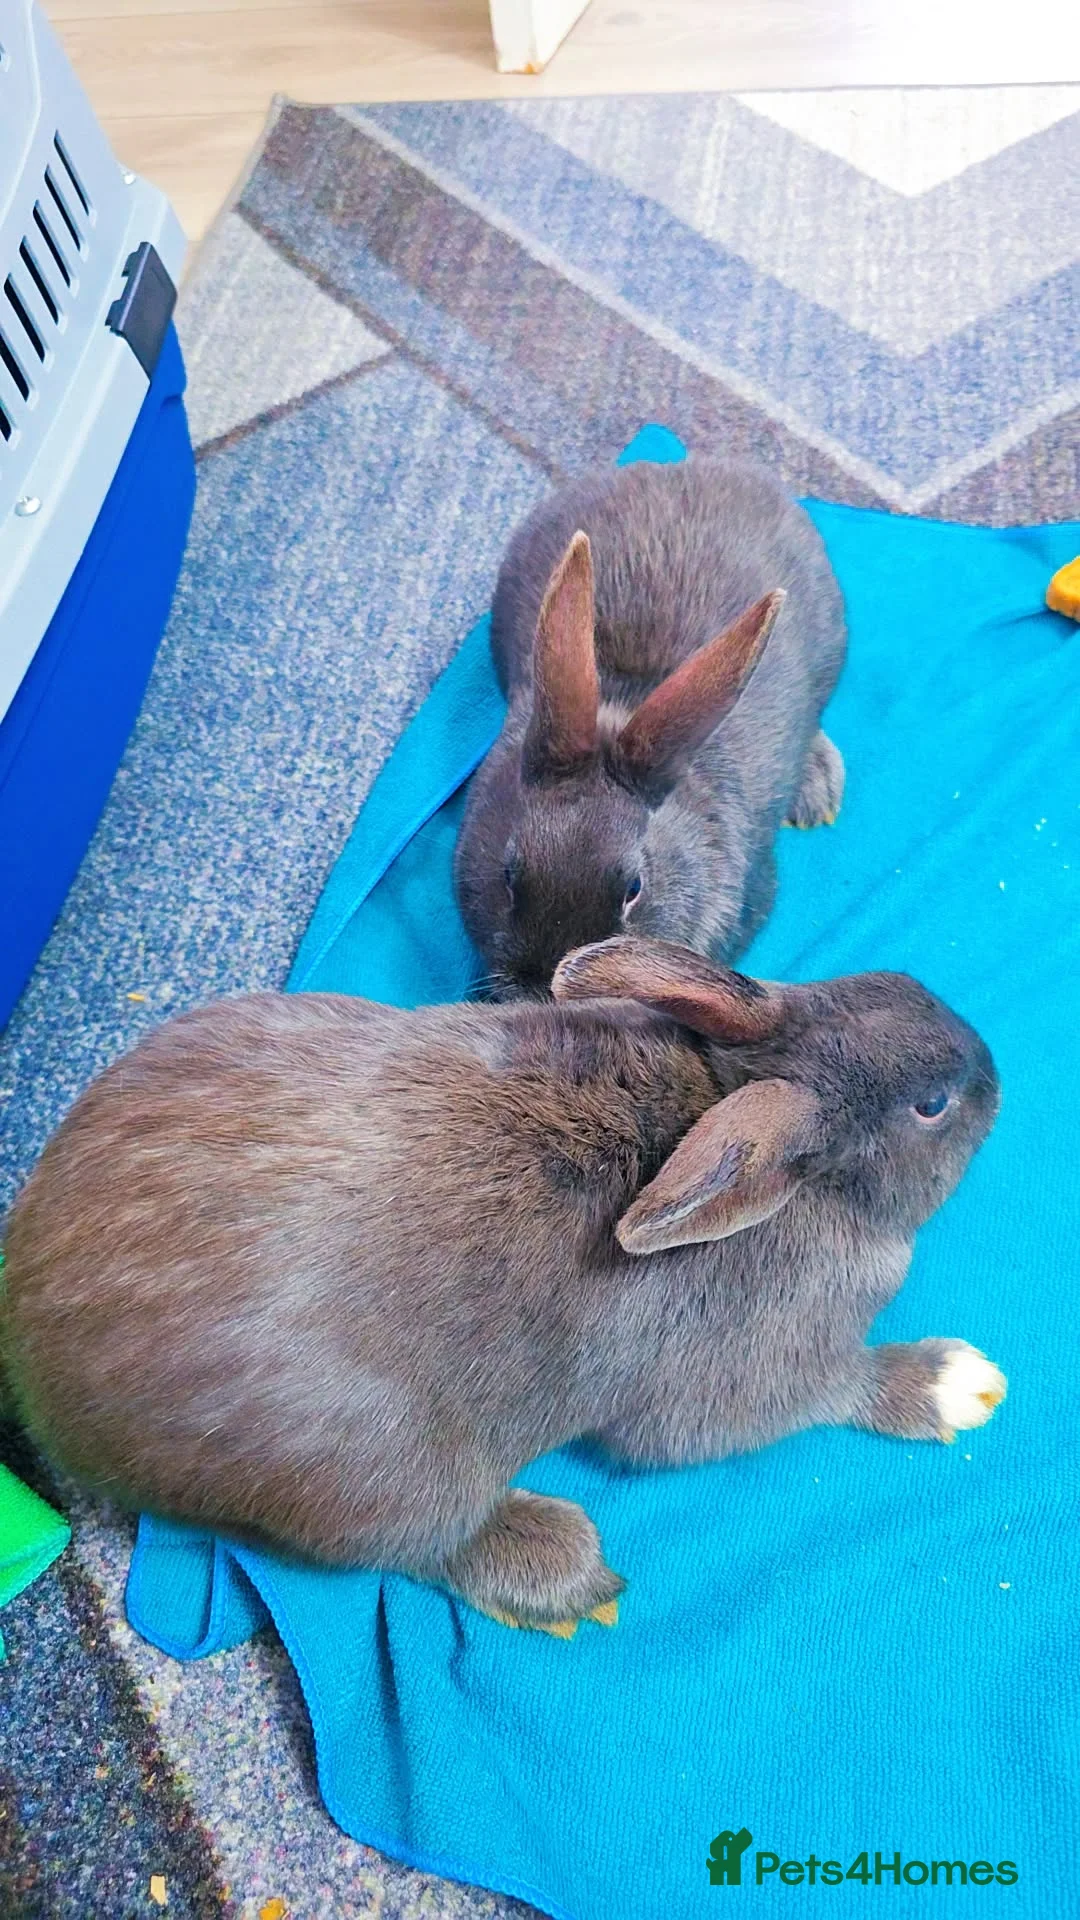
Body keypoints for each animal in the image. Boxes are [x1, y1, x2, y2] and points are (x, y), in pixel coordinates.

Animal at [0, 938, 1004, 1633]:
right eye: (933, 1107)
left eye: (892, 982)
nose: (993, 1070)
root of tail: (40, 1376)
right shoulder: (754, 1379)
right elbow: (840, 1388)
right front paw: (955, 1383)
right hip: (390, 1477)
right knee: (421, 1546)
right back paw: (566, 1573)